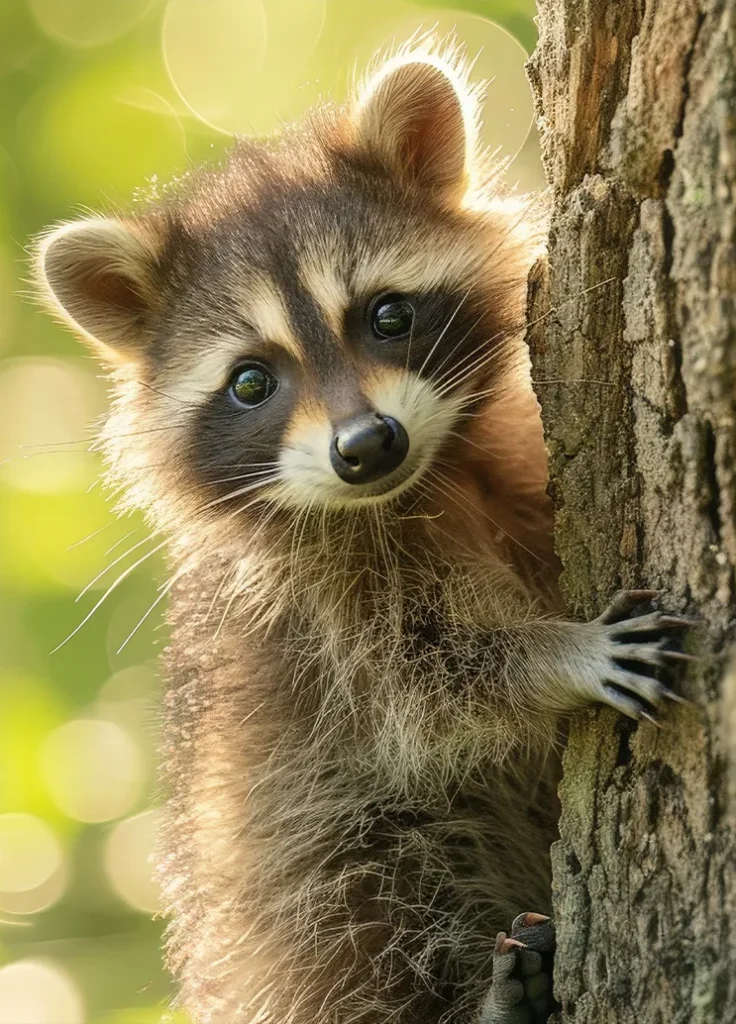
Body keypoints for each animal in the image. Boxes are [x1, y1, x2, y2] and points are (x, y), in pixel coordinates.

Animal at [36, 41, 688, 1024]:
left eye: (387, 315)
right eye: (251, 382)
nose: (366, 444)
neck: (432, 479)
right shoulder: (321, 611)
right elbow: (429, 681)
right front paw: (559, 656)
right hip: (308, 877)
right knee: (370, 906)